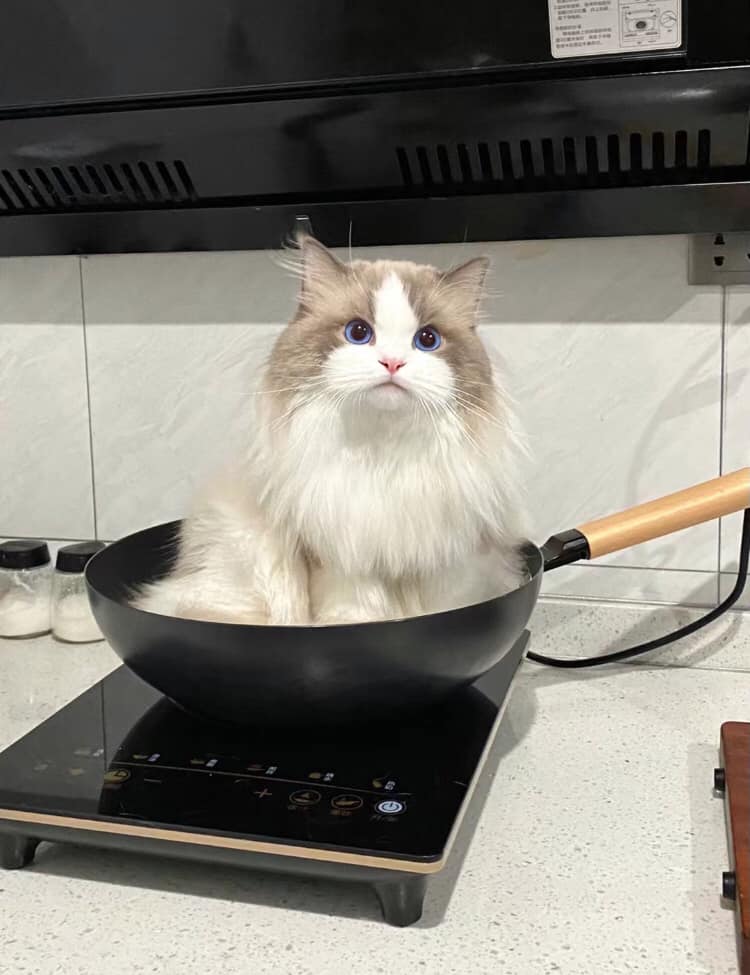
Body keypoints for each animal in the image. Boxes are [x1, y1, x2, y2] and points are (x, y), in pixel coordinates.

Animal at [134, 236, 528, 624]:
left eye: (427, 340)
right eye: (358, 332)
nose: (392, 363)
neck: (381, 453)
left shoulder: (448, 560)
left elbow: (445, 607)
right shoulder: (339, 557)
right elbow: (352, 611)